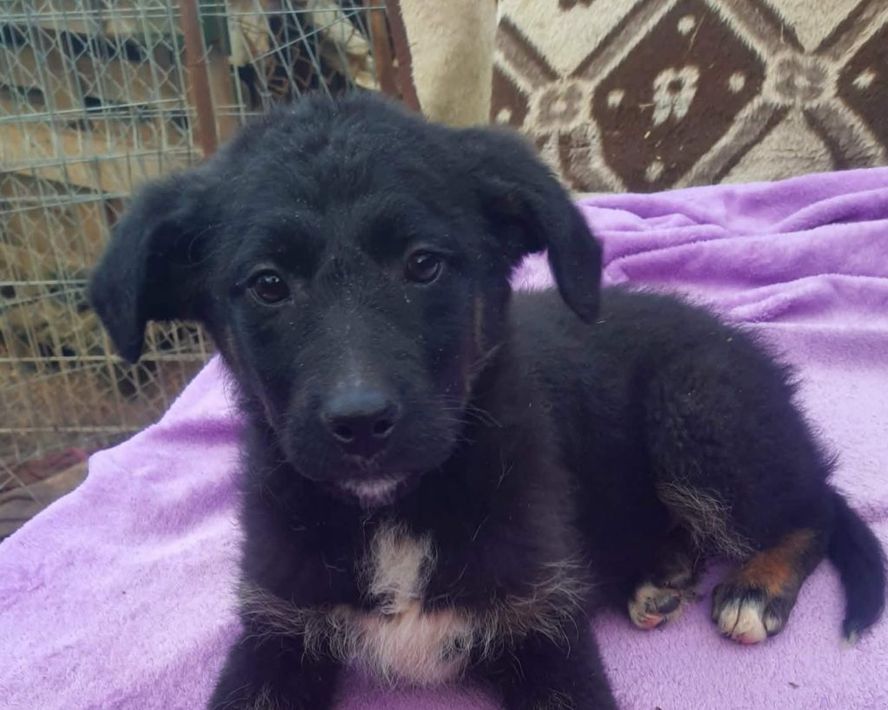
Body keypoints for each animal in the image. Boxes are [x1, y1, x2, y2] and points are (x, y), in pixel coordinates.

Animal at [89, 94, 885, 710]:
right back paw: (659, 573)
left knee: (812, 505)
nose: (361, 424)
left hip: (697, 411)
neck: (394, 512)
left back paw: (755, 587)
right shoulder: (276, 629)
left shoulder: (544, 630)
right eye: (267, 284)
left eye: (422, 264)